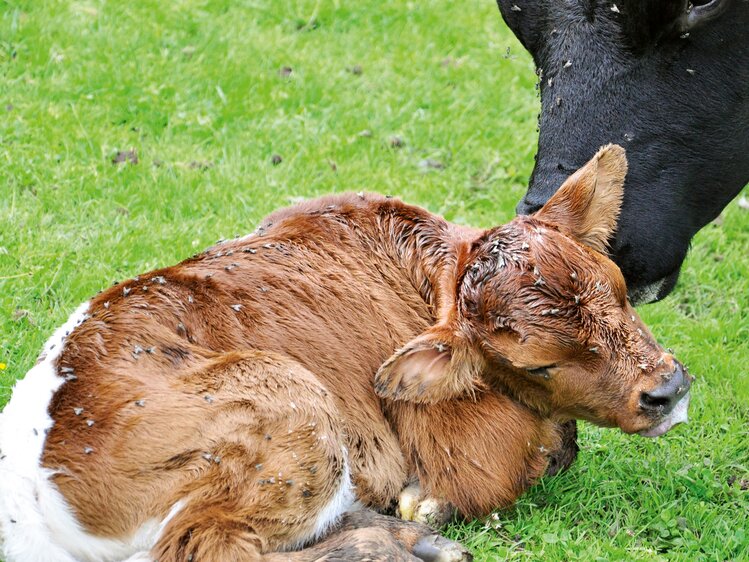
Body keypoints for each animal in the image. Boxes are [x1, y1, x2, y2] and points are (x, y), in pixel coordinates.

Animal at [0, 145, 688, 560]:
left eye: (619, 291)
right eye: (541, 362)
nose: (668, 391)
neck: (435, 269)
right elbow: (539, 461)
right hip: (291, 400)